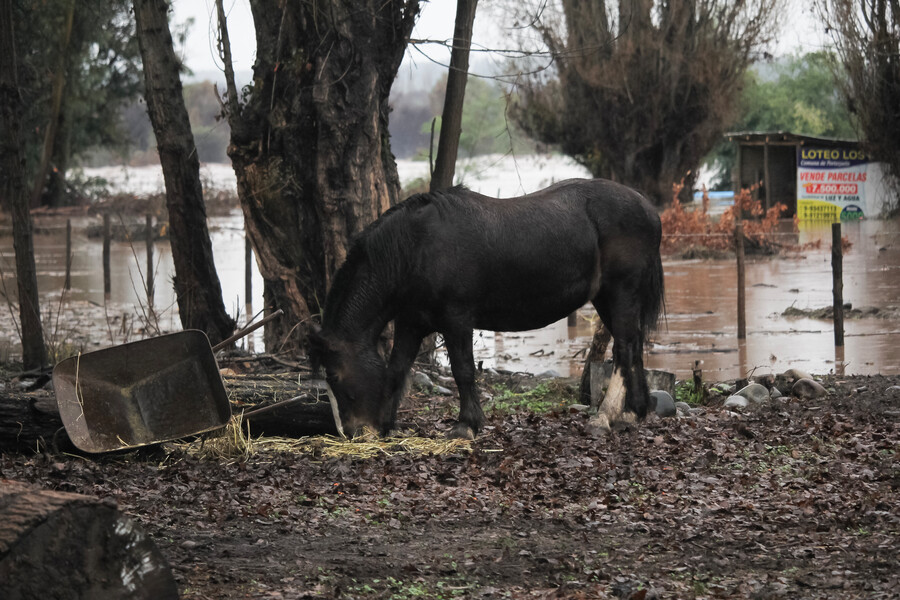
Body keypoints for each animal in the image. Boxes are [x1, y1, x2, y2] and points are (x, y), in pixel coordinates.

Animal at [310, 176, 668, 438]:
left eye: (336, 377)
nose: (352, 432)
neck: (415, 248)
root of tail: (649, 209)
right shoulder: (411, 323)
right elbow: (397, 368)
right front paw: (387, 425)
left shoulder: (456, 320)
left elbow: (463, 370)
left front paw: (466, 425)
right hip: (606, 299)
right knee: (630, 347)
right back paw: (632, 413)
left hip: (621, 293)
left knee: (625, 347)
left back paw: (607, 417)